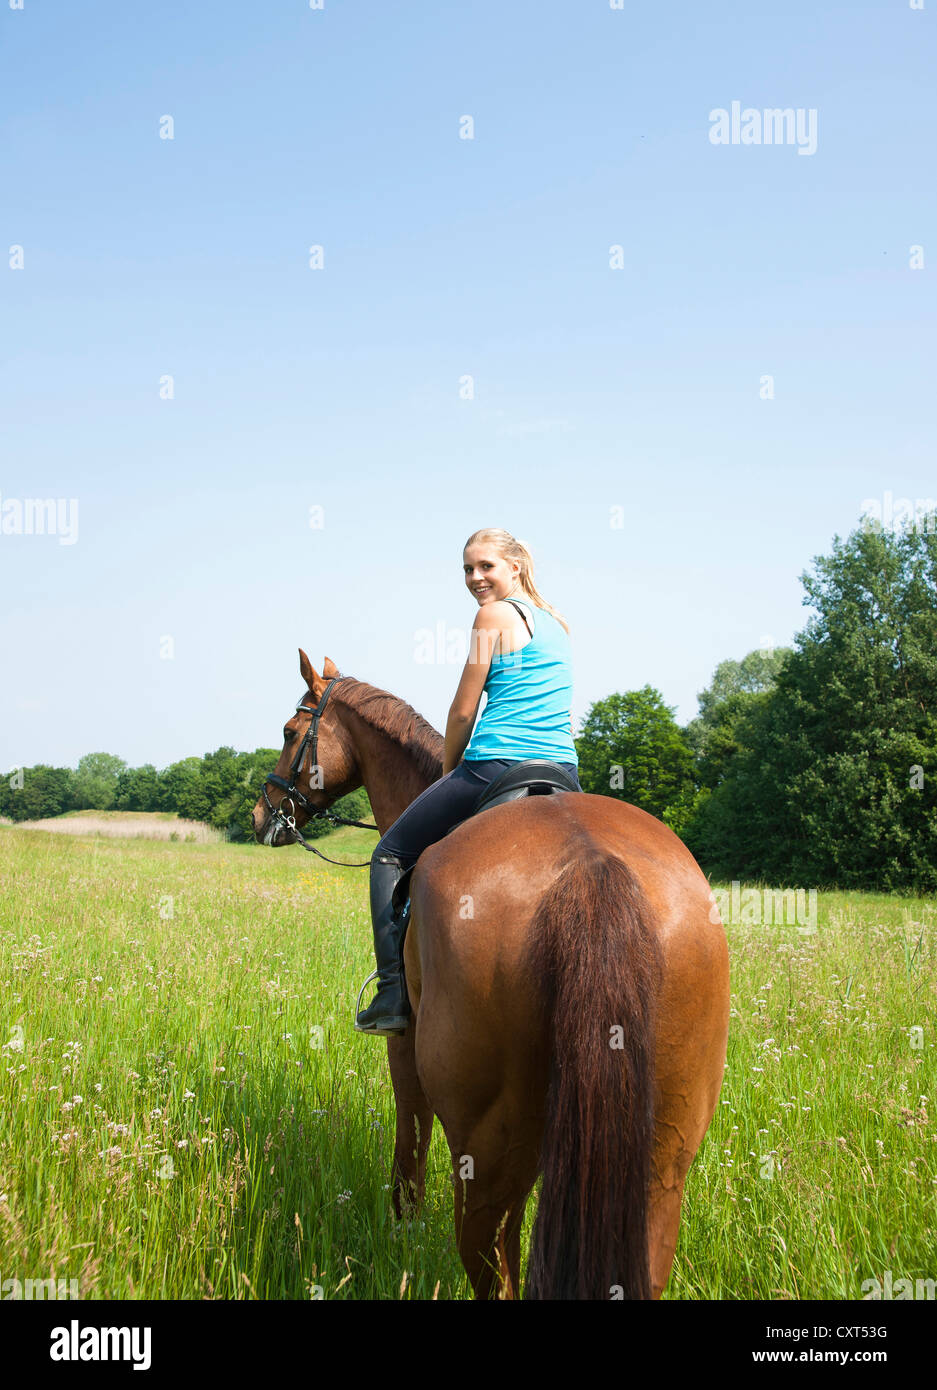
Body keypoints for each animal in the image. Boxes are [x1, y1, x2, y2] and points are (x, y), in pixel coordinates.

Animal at [252, 650, 730, 1300]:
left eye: (289, 732)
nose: (261, 815)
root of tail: (589, 865)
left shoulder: (404, 1045)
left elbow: (408, 1142)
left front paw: (401, 1229)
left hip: (487, 1155)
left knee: (493, 1266)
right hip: (660, 1164)